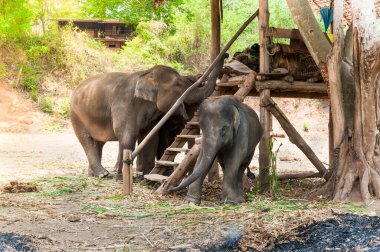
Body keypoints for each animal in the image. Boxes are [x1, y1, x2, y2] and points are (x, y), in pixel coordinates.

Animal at [70, 64, 223, 180]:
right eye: (178, 85)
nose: (226, 55)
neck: (146, 73)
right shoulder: (124, 104)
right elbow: (127, 136)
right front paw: (122, 178)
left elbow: (151, 138)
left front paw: (146, 176)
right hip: (76, 116)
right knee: (86, 140)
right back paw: (103, 174)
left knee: (98, 142)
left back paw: (95, 174)